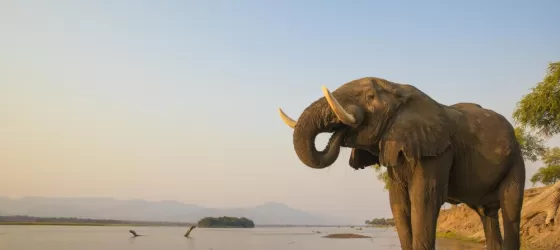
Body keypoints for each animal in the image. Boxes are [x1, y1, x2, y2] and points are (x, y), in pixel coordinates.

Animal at [278, 77, 524, 249]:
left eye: (369, 97)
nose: (339, 131)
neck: (398, 89)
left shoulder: (438, 151)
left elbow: (423, 200)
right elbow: (398, 203)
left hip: (515, 161)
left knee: (511, 209)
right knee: (487, 214)